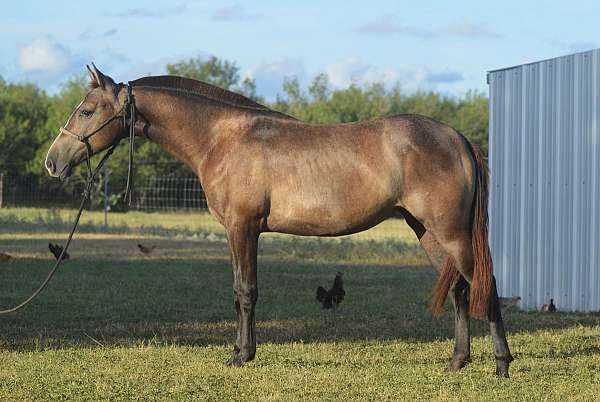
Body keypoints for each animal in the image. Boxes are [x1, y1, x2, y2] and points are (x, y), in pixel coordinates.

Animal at [44, 65, 512, 376]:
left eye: (86, 111)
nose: (53, 162)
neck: (220, 139)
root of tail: (457, 138)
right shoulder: (239, 232)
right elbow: (240, 293)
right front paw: (241, 350)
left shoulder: (243, 228)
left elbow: (246, 292)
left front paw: (242, 355)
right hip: (429, 233)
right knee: (460, 291)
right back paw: (457, 362)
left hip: (452, 234)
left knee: (484, 286)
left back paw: (502, 364)